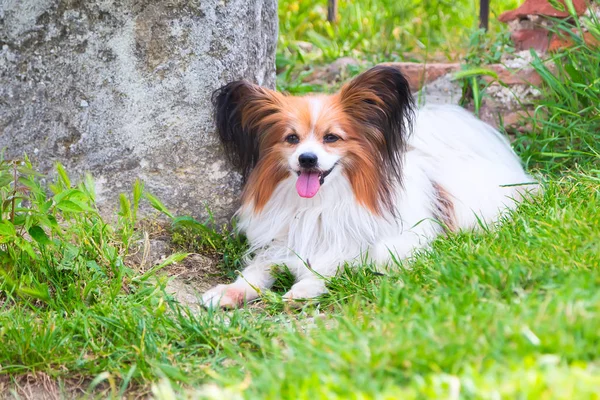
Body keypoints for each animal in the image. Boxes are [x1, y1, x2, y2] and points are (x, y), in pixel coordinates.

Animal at [200, 66, 536, 310]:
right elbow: (256, 271)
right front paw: (228, 292)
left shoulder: (384, 243)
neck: (318, 204)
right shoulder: (279, 244)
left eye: (331, 138)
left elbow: (339, 262)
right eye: (291, 139)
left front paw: (305, 288)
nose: (307, 158)